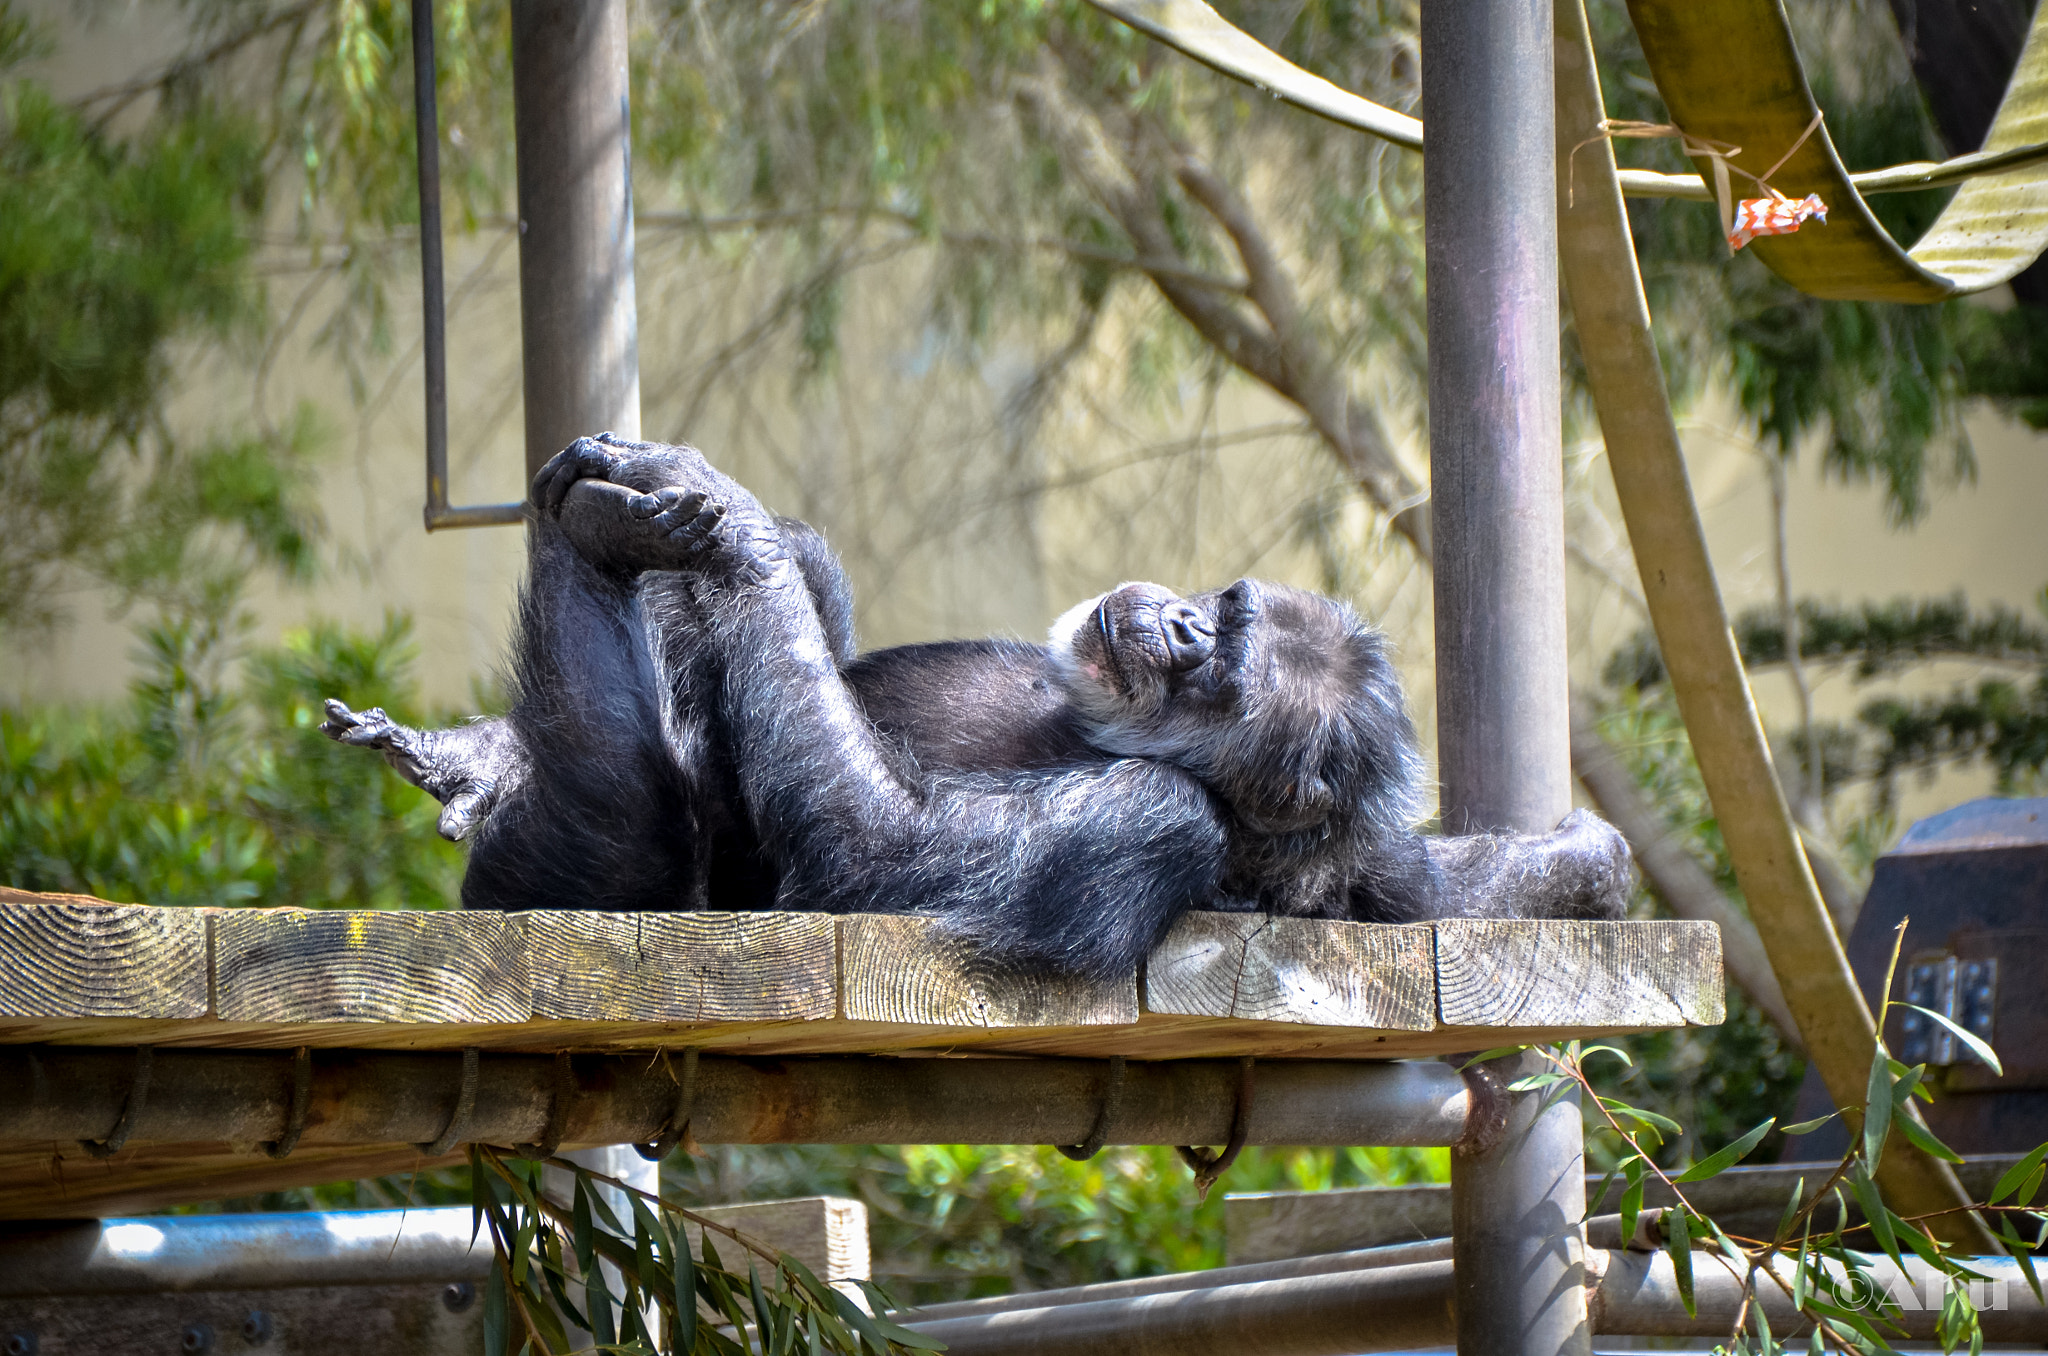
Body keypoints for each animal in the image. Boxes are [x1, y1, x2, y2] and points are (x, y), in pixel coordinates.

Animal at [323, 436, 1630, 979]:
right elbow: (1428, 881)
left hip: (579, 870)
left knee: (621, 792)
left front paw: (717, 508)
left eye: (1214, 672)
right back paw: (472, 754)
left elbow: (876, 850)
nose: (1173, 622)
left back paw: (591, 539)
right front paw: (1582, 859)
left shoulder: (1150, 823)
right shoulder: (1372, 866)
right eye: (1222, 608)